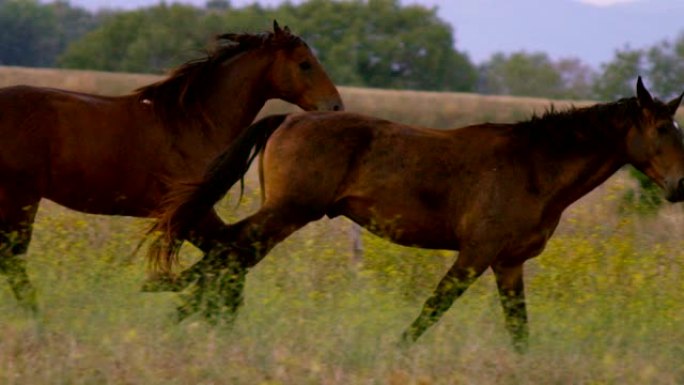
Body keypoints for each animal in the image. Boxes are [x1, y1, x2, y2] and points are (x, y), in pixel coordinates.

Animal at [0, 21, 342, 310]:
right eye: (305, 64)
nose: (335, 106)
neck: (193, 123)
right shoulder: (190, 212)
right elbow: (228, 250)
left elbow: (228, 250)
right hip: (21, 199)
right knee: (13, 260)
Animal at [147, 76, 680, 350]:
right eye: (661, 130)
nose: (679, 187)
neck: (533, 167)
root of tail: (290, 118)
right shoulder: (476, 253)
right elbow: (433, 308)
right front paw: (398, 349)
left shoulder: (509, 263)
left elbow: (518, 328)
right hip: (287, 212)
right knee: (229, 251)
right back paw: (189, 315)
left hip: (284, 215)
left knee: (228, 253)